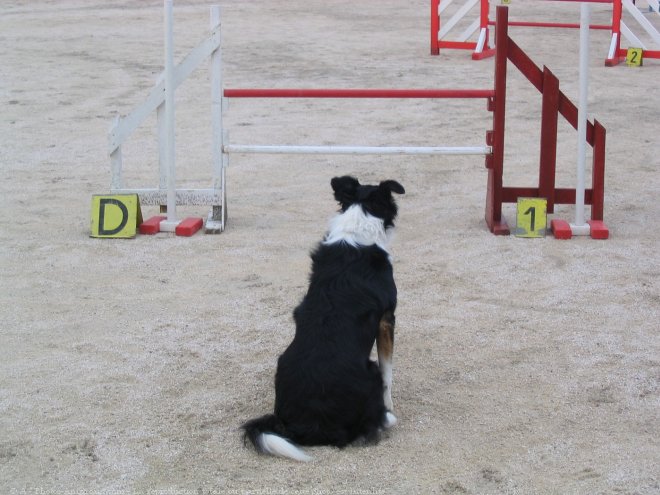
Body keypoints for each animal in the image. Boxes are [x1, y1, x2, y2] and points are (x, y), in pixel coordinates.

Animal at [242, 176, 404, 464]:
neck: (359, 216)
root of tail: (294, 426)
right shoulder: (387, 319)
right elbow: (388, 372)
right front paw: (390, 406)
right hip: (369, 370)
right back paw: (385, 419)